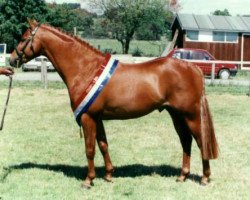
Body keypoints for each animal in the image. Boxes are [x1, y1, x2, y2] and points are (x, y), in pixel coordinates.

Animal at [9, 19, 218, 188]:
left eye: (24, 37)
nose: (11, 59)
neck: (86, 69)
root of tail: (194, 68)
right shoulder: (97, 118)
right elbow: (103, 145)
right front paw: (109, 175)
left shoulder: (88, 117)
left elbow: (90, 149)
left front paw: (88, 180)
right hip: (176, 115)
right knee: (186, 141)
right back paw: (182, 176)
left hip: (190, 115)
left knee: (201, 142)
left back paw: (204, 178)